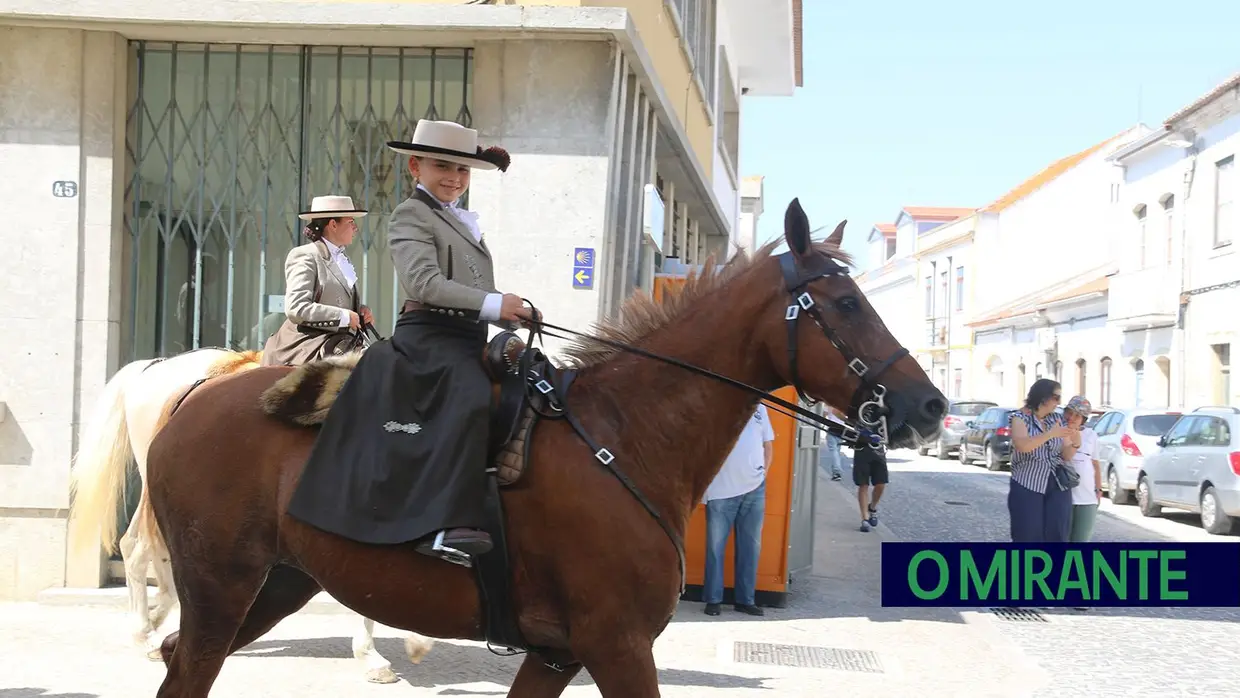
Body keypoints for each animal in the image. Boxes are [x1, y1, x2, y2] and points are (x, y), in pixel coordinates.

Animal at [142, 199, 937, 694]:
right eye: (846, 304)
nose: (928, 405)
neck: (624, 437)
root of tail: (197, 392)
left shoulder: (557, 655)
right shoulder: (617, 645)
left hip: (277, 583)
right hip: (221, 587)